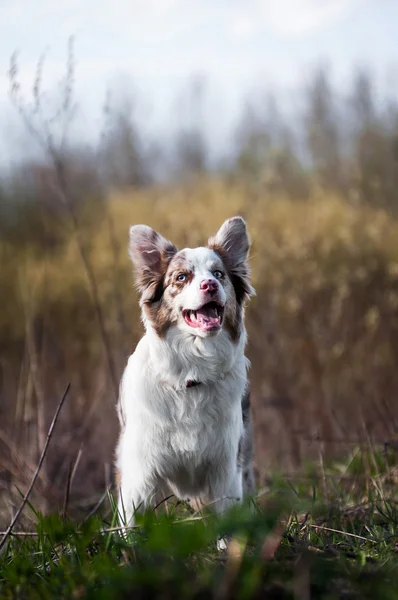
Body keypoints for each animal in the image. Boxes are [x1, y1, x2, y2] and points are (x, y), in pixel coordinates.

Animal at [116, 217, 255, 528]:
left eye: (219, 273)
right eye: (181, 277)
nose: (210, 285)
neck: (192, 373)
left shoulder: (226, 466)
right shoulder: (139, 472)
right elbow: (131, 523)